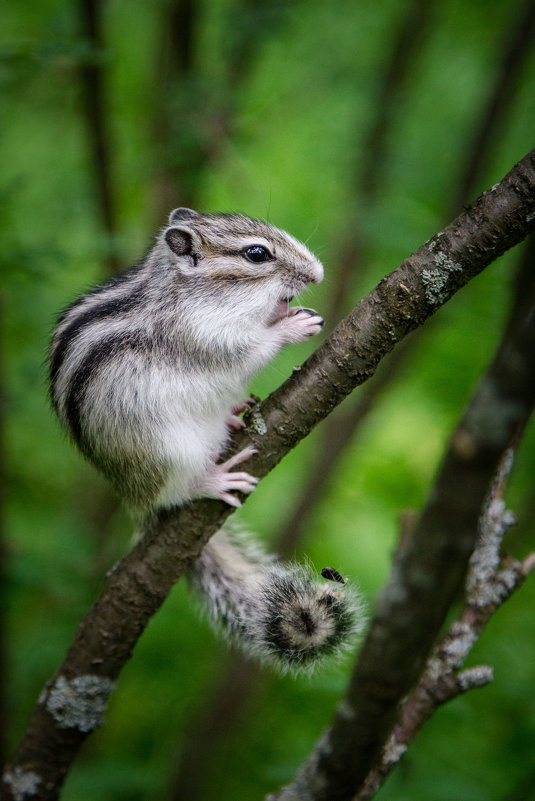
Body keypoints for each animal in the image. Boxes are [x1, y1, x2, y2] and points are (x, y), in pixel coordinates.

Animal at [49, 209, 364, 672]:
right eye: (257, 254)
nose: (318, 274)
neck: (191, 294)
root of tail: (134, 499)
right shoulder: (203, 338)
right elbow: (248, 351)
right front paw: (290, 325)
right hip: (167, 456)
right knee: (174, 491)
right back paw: (213, 479)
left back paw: (233, 416)